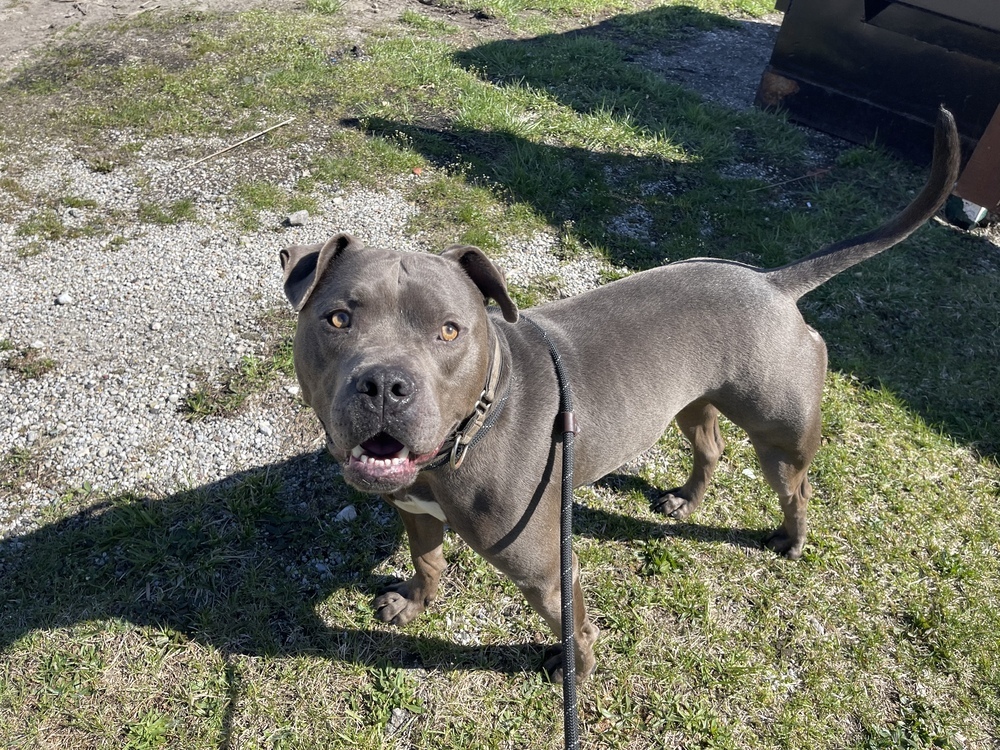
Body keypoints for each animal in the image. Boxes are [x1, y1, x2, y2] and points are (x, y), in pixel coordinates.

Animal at [280, 110, 960, 680]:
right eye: (338, 319)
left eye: (450, 330)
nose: (384, 385)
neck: (470, 432)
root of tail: (771, 282)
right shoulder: (415, 509)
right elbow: (428, 560)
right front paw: (414, 602)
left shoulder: (548, 569)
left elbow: (573, 626)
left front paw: (571, 674)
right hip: (689, 404)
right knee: (711, 448)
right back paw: (685, 500)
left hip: (780, 431)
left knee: (796, 487)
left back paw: (789, 541)